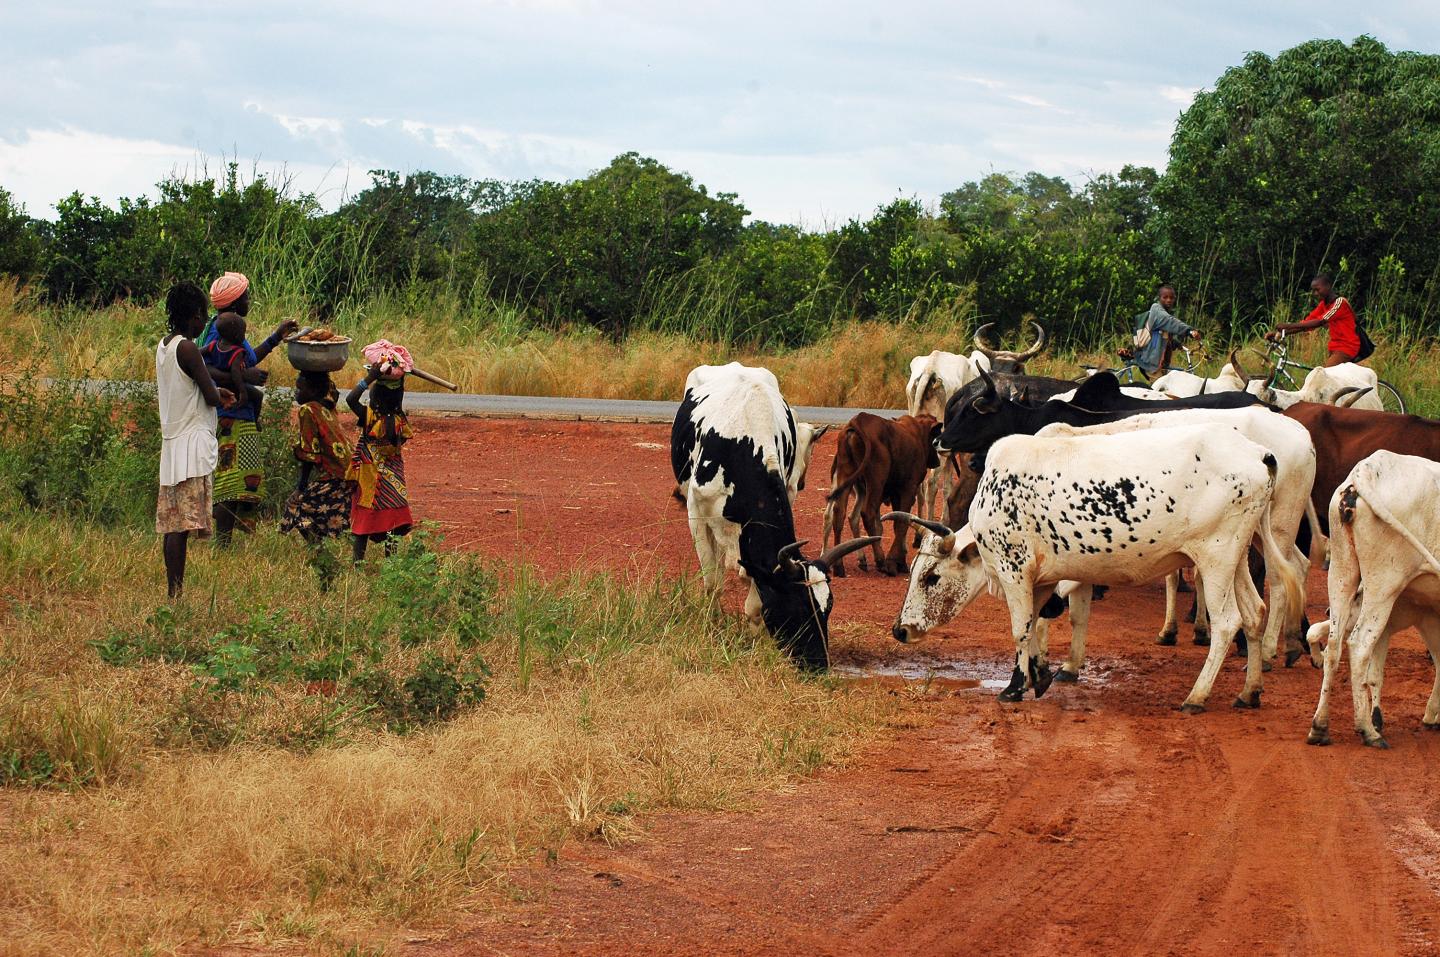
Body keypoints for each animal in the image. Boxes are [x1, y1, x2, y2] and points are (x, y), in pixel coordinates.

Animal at [671, 363, 875, 668]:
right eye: (797, 606)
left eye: (828, 607)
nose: (819, 663)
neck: (743, 446)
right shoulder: (696, 514)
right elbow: (712, 583)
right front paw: (711, 625)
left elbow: (756, 598)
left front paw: (756, 639)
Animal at [821, 413, 940, 577]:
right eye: (936, 437)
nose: (937, 461)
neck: (917, 434)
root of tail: (858, 421)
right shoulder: (908, 489)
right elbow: (901, 523)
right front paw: (894, 562)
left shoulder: (896, 493)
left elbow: (898, 521)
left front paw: (900, 562)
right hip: (876, 480)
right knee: (867, 514)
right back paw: (880, 560)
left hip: (846, 475)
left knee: (839, 514)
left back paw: (839, 566)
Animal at [890, 426, 1302, 711]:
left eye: (930, 577)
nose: (900, 630)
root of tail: (1259, 453)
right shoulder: (1042, 579)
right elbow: (1038, 626)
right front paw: (1040, 676)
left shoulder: (1015, 572)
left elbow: (1021, 629)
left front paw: (1014, 687)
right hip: (1237, 559)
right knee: (1254, 613)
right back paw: (1249, 692)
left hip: (1215, 560)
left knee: (1228, 623)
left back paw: (1196, 696)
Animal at [1307, 452, 1440, 749]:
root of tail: (1365, 471)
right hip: (1384, 585)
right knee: (1358, 645)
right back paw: (1368, 731)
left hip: (1341, 572)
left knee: (1334, 645)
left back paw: (1320, 728)